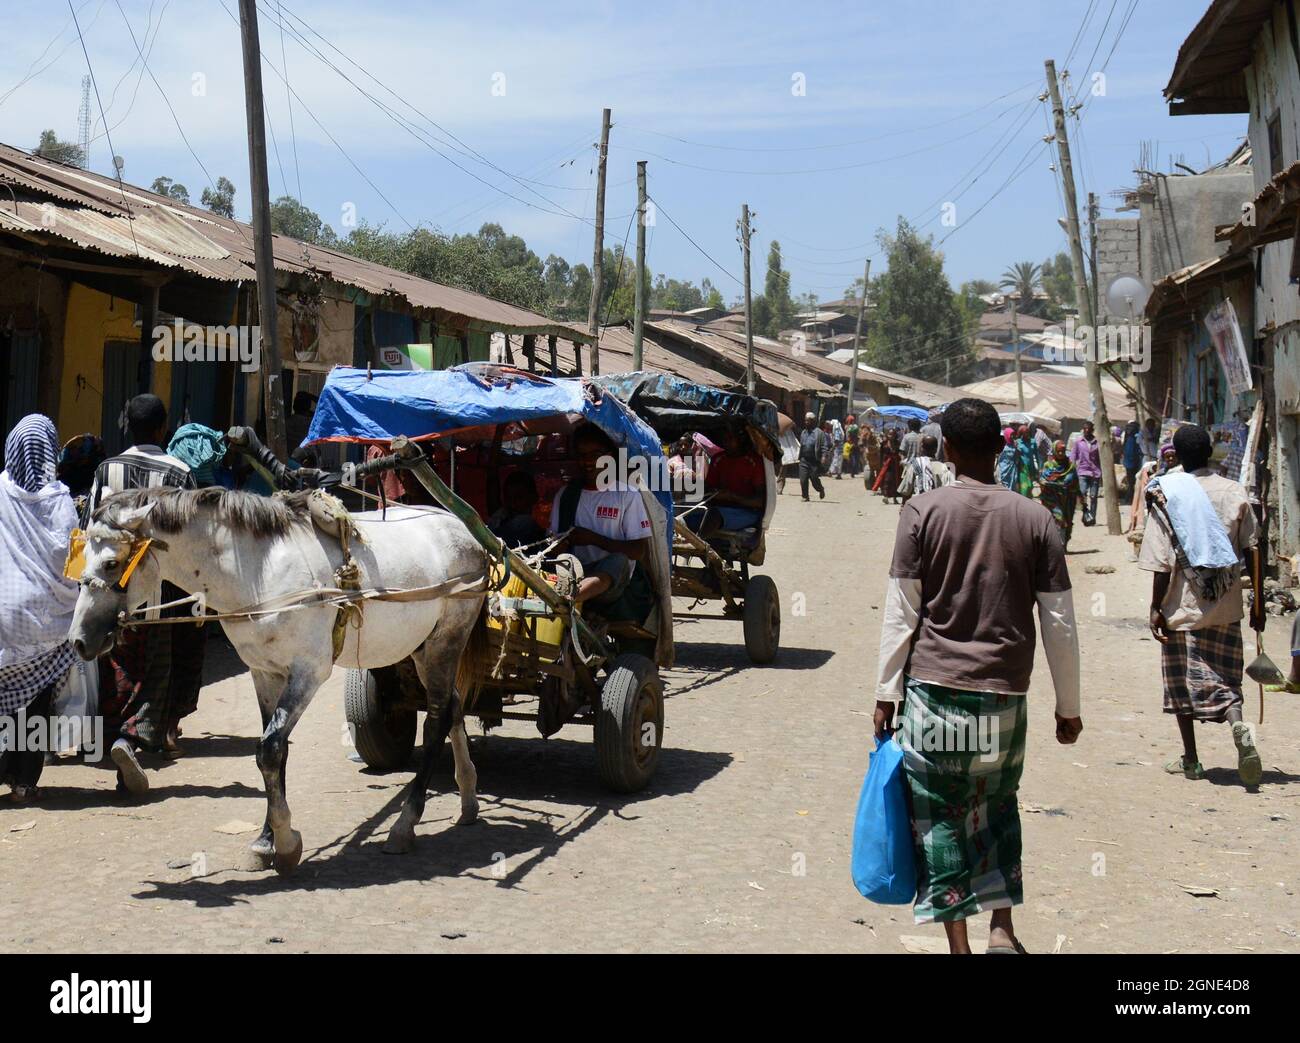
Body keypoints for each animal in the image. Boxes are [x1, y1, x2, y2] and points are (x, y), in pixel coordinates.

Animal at [68, 486, 488, 868]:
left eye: (111, 564)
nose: (78, 640)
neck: (260, 571)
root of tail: (464, 529)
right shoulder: (264, 672)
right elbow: (276, 751)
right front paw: (265, 840)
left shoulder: (309, 672)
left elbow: (269, 749)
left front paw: (285, 842)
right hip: (422, 647)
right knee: (452, 706)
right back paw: (468, 797)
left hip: (447, 640)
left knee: (436, 719)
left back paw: (405, 824)